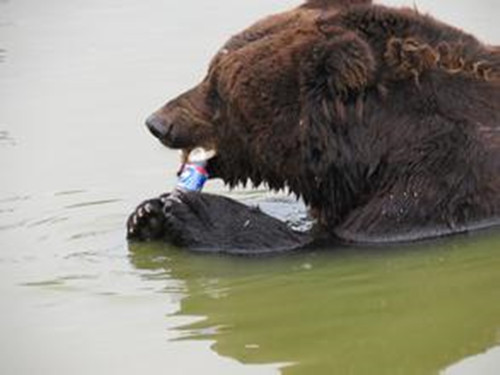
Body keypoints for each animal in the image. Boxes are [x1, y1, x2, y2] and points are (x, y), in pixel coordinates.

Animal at [127, 0, 500, 256]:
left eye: (218, 85)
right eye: (210, 71)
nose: (157, 122)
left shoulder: (446, 177)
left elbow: (328, 241)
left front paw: (190, 210)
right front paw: (146, 213)